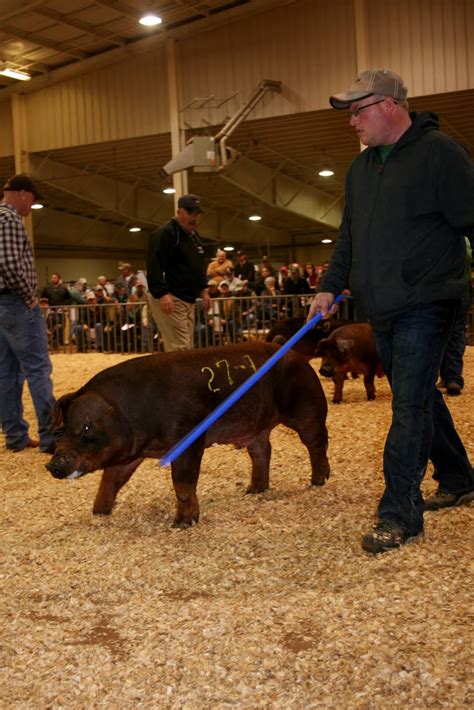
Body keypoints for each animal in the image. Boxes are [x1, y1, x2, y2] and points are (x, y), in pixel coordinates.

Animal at [47, 344, 330, 528]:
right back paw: (253, 491)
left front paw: (183, 524)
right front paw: (98, 513)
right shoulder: (128, 456)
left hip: (307, 408)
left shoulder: (189, 440)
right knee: (262, 452)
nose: (53, 465)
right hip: (257, 428)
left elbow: (183, 484)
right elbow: (111, 481)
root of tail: (300, 357)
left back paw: (318, 481)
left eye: (86, 428)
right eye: (63, 429)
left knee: (317, 442)